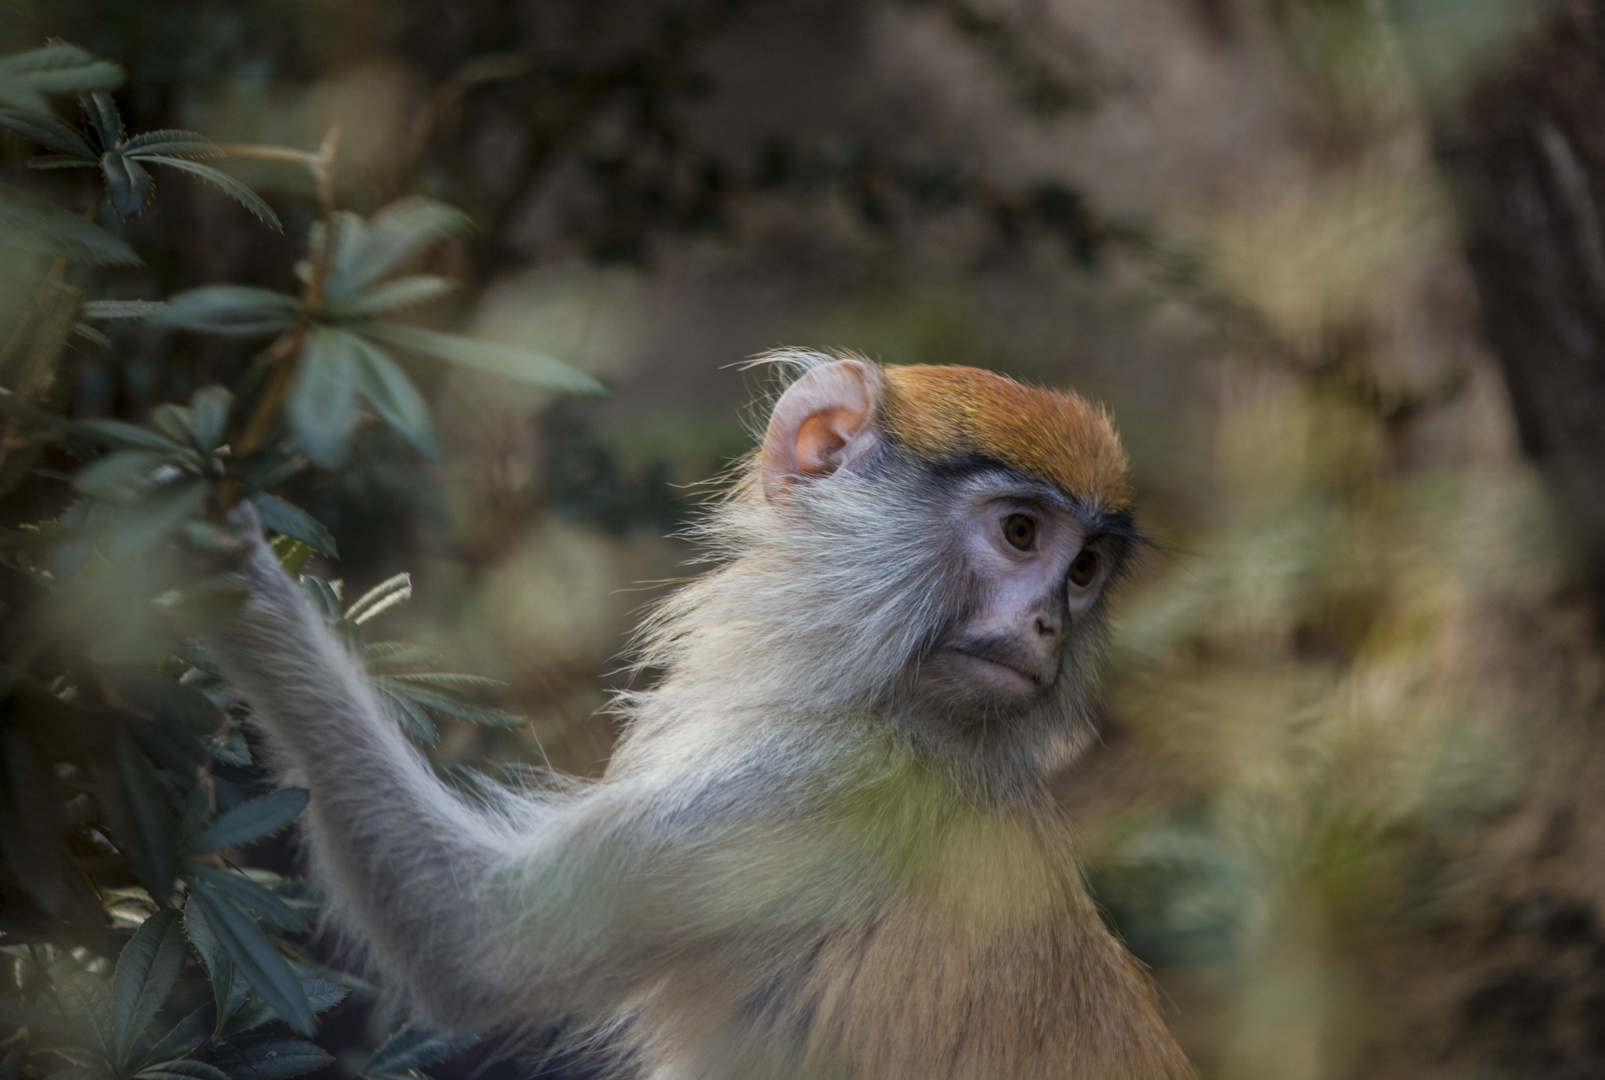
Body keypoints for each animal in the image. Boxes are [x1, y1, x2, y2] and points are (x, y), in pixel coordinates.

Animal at [213, 351, 1194, 1078]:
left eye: (1083, 571)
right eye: (1024, 534)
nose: (1046, 625)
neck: (914, 713)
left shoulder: (823, 786)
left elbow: (477, 939)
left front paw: (225, 576)